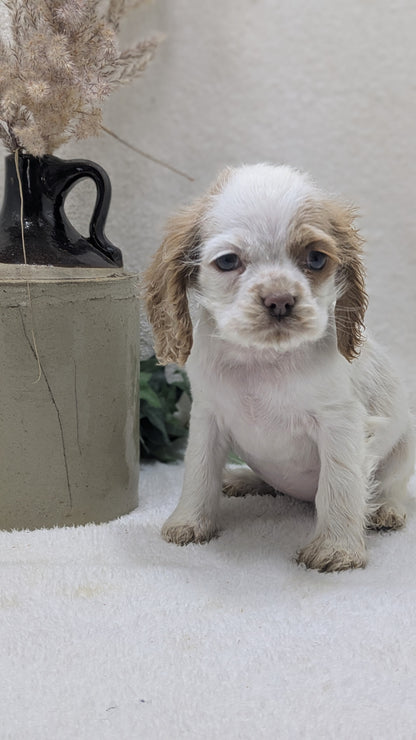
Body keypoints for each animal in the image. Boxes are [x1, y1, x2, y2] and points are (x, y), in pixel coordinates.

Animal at [145, 166, 414, 572]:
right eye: (228, 261)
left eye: (316, 259)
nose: (280, 300)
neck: (263, 359)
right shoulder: (207, 416)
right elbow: (198, 470)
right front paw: (189, 522)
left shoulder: (340, 423)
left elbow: (339, 485)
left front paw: (337, 548)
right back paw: (243, 479)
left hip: (405, 445)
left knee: (392, 486)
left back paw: (385, 509)